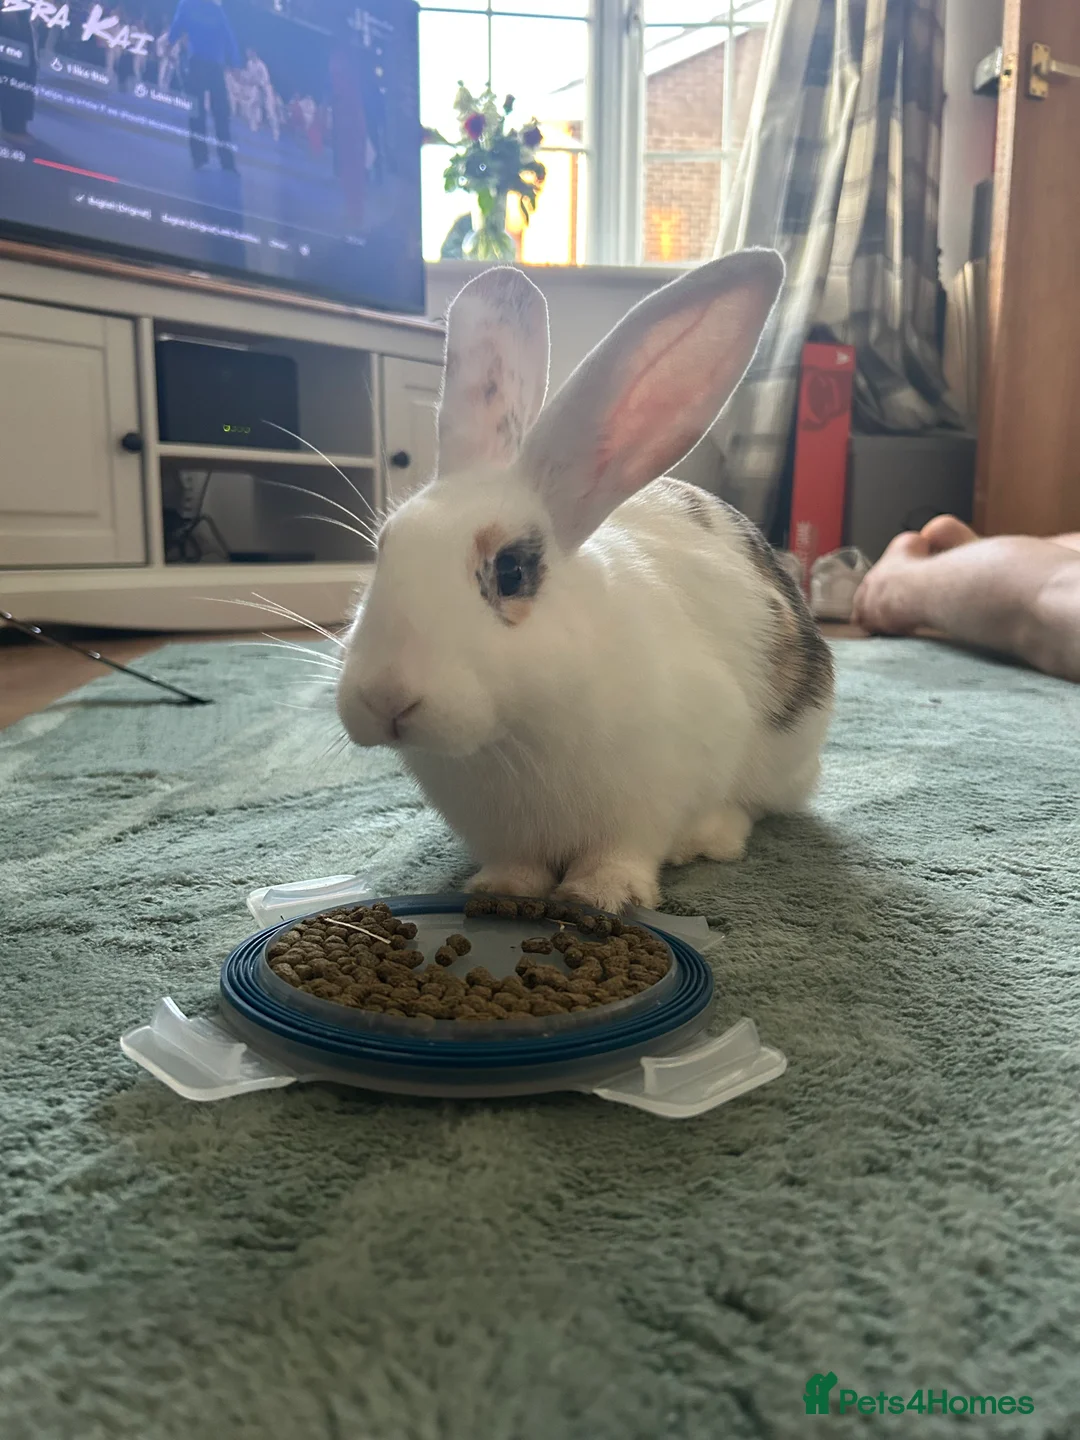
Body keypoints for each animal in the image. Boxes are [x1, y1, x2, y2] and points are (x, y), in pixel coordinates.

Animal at [337, 252, 834, 913]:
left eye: (512, 571)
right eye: (383, 548)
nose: (385, 699)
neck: (511, 737)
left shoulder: (654, 797)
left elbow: (622, 853)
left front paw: (599, 896)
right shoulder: (504, 834)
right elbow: (516, 866)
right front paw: (501, 892)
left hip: (787, 751)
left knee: (753, 808)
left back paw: (707, 839)